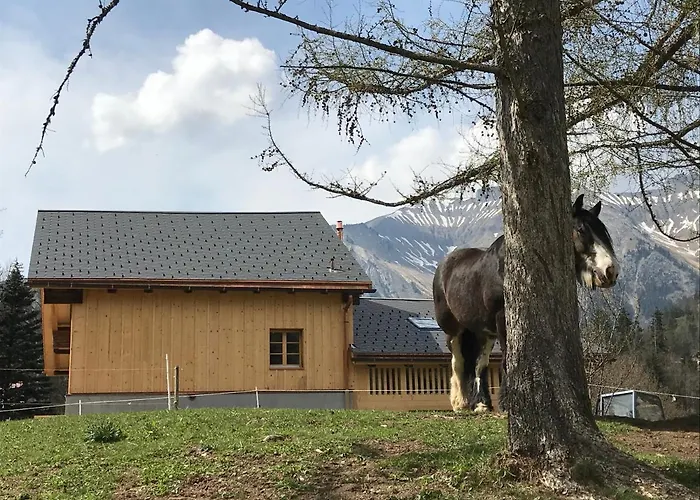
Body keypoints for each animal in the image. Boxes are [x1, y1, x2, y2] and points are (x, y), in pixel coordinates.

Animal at [432, 193, 619, 413]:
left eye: (603, 232)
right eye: (581, 230)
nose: (610, 271)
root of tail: (445, 265)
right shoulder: (502, 319)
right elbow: (507, 361)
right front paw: (508, 405)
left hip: (483, 331)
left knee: (479, 363)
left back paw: (482, 404)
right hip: (454, 329)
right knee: (458, 360)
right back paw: (460, 402)